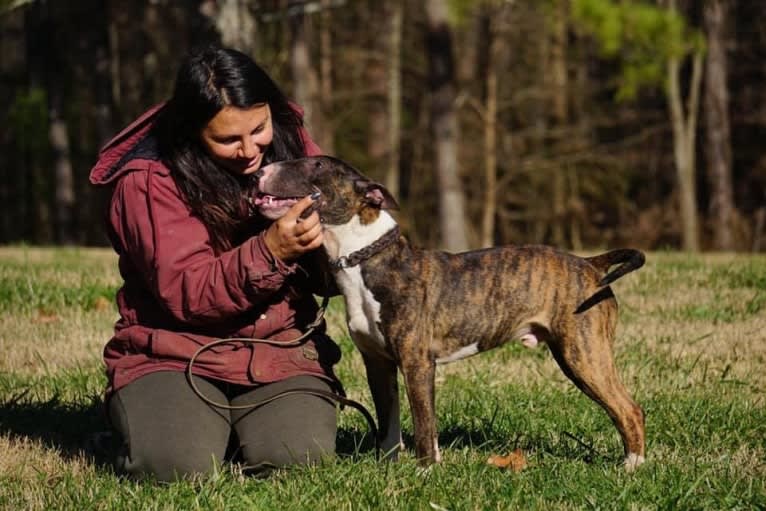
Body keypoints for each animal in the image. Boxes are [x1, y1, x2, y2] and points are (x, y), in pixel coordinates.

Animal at [252, 157, 648, 472]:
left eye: (316, 165)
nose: (259, 172)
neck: (365, 257)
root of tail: (591, 264)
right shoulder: (378, 364)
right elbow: (388, 421)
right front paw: (388, 467)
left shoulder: (417, 362)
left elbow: (424, 423)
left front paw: (426, 470)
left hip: (584, 355)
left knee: (628, 408)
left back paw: (632, 466)